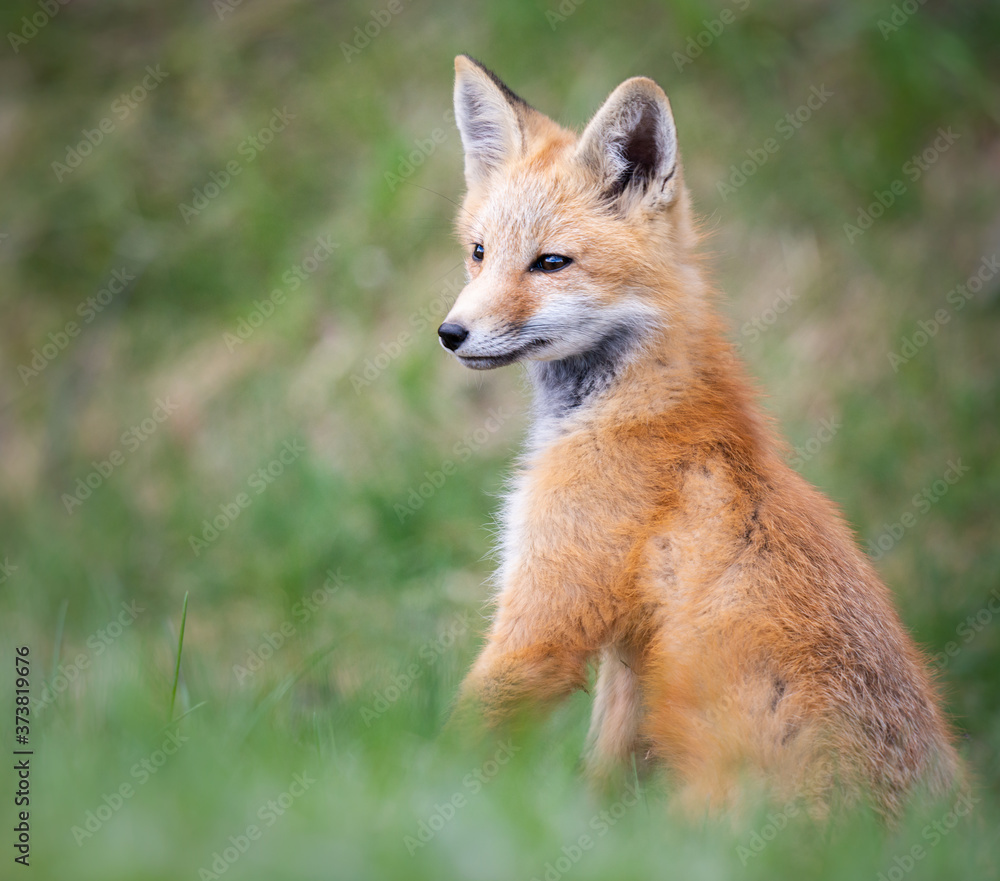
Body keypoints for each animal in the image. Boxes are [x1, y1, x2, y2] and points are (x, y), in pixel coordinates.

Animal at [437, 54, 961, 820]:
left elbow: (462, 736)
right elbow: (603, 781)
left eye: (551, 263)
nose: (451, 333)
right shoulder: (626, 663)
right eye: (478, 253)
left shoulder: (547, 619)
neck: (637, 410)